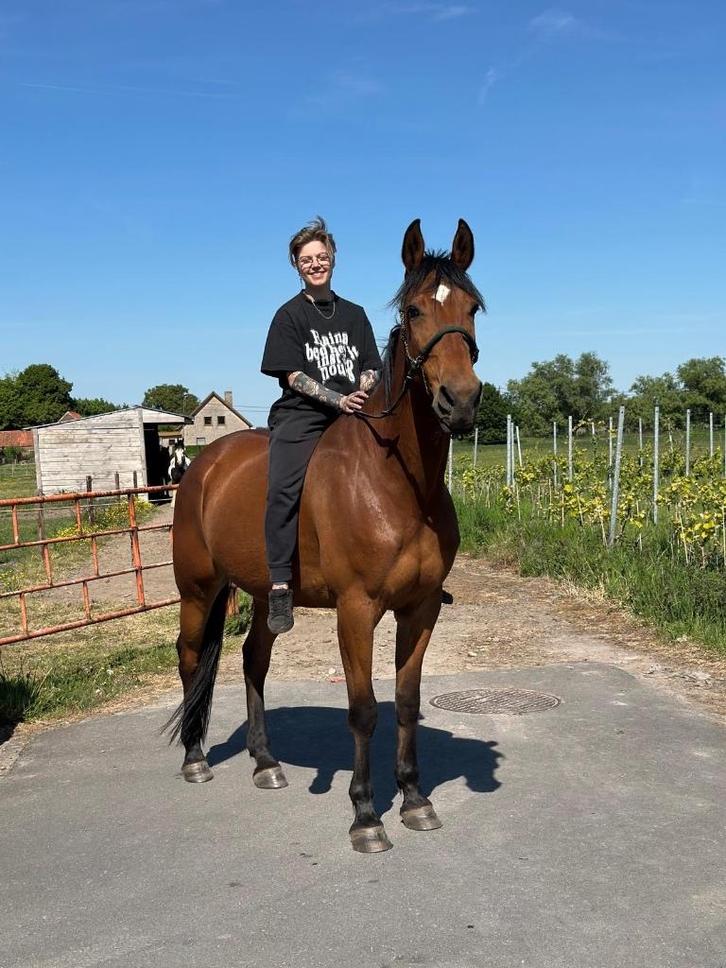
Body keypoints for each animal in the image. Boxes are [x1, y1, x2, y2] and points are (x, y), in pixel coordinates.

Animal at [166, 219, 484, 852]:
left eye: (473, 308)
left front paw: (415, 799)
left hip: (265, 595)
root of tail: (202, 465)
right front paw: (365, 815)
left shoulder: (419, 610)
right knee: (191, 658)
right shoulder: (356, 611)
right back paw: (195, 758)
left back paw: (265, 763)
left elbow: (406, 703)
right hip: (198, 590)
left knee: (252, 660)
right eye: (414, 310)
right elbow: (363, 710)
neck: (399, 483)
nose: (459, 402)